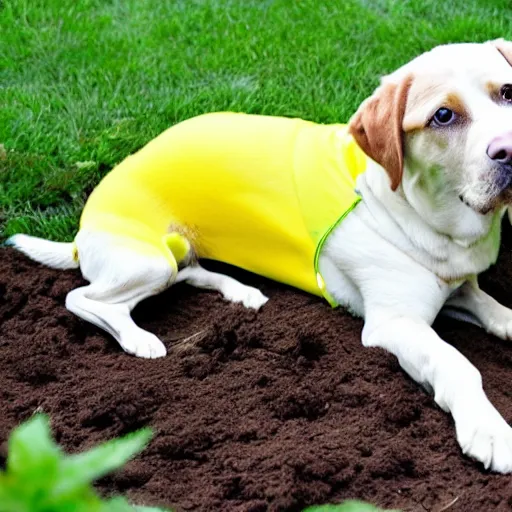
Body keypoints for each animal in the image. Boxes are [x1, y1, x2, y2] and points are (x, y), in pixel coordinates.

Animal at [8, 40, 512, 472]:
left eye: (507, 92)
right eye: (443, 115)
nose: (507, 150)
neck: (427, 217)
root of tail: (82, 230)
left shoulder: (459, 285)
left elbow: (492, 308)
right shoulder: (393, 324)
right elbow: (456, 363)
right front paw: (490, 431)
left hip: (173, 254)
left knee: (190, 273)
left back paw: (241, 293)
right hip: (147, 259)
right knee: (84, 297)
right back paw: (140, 338)